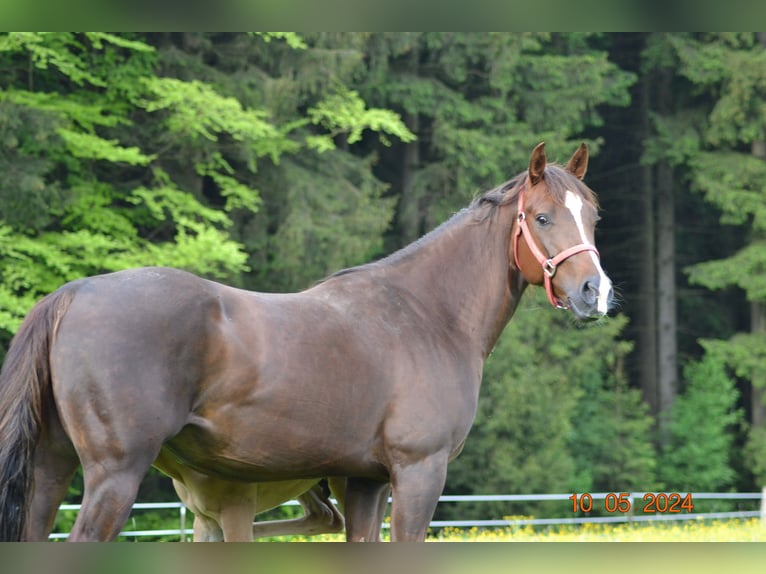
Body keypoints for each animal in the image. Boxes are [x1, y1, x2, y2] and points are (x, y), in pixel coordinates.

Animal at [0, 142, 612, 544]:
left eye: (592, 216)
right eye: (542, 217)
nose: (595, 292)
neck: (425, 313)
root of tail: (72, 294)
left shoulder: (363, 483)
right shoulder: (419, 473)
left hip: (52, 469)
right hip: (116, 474)